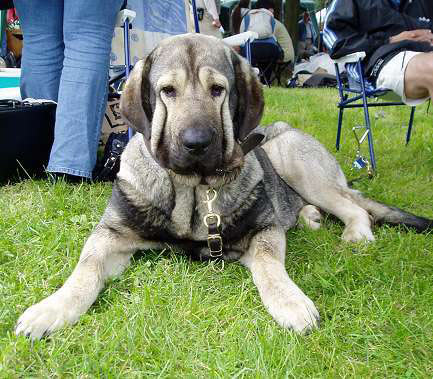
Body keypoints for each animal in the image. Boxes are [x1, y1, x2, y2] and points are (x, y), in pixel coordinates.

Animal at [15, 34, 430, 340]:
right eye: (167, 91)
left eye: (218, 90)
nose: (196, 142)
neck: (192, 187)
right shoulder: (111, 235)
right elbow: (85, 270)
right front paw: (50, 309)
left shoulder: (263, 231)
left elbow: (270, 268)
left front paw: (291, 302)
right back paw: (310, 217)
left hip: (290, 157)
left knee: (354, 206)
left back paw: (354, 233)